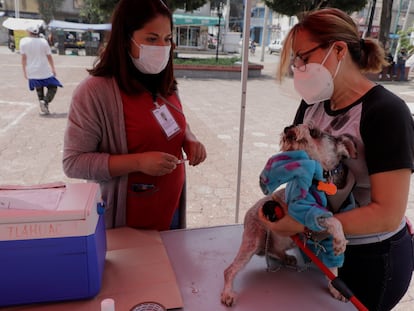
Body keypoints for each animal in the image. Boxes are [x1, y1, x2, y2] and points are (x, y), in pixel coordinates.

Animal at [222, 124, 358, 308]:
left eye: (314, 131)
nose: (288, 128)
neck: (323, 178)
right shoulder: (303, 210)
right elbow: (331, 219)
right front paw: (341, 240)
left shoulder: (327, 239)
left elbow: (333, 269)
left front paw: (336, 289)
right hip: (254, 240)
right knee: (230, 270)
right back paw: (227, 293)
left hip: (283, 240)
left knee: (273, 250)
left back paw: (286, 258)